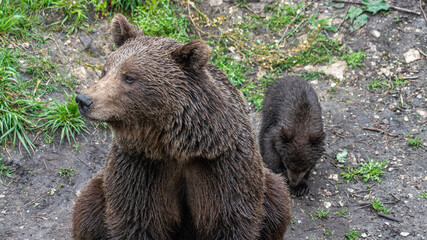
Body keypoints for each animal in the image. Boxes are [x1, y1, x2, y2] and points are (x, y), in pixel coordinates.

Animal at [72, 14, 290, 240]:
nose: (84, 100)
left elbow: (232, 219)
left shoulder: (224, 168)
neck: (176, 147)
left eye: (129, 76)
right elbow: (136, 219)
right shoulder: (139, 168)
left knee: (277, 201)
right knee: (87, 209)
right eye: (105, 71)